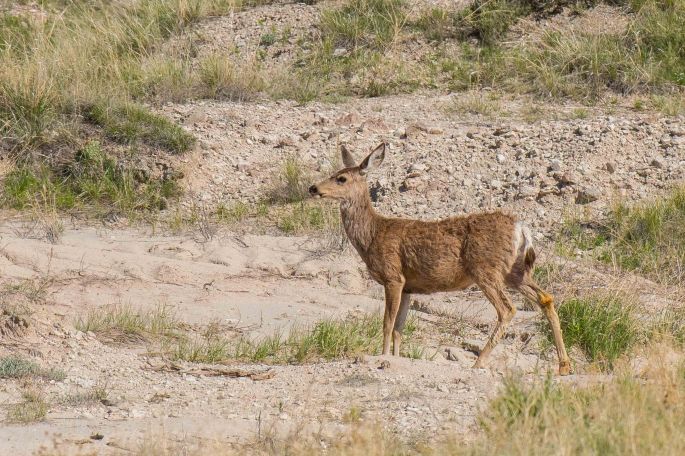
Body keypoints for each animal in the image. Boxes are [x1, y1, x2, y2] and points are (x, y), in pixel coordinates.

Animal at [308, 142, 571, 375]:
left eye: (341, 178)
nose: (313, 188)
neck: (372, 234)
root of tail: (521, 228)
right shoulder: (408, 286)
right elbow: (399, 329)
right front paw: (395, 357)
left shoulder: (393, 277)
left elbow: (387, 324)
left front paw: (382, 357)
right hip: (515, 271)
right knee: (545, 298)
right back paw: (564, 366)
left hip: (486, 268)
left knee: (507, 309)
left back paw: (478, 363)